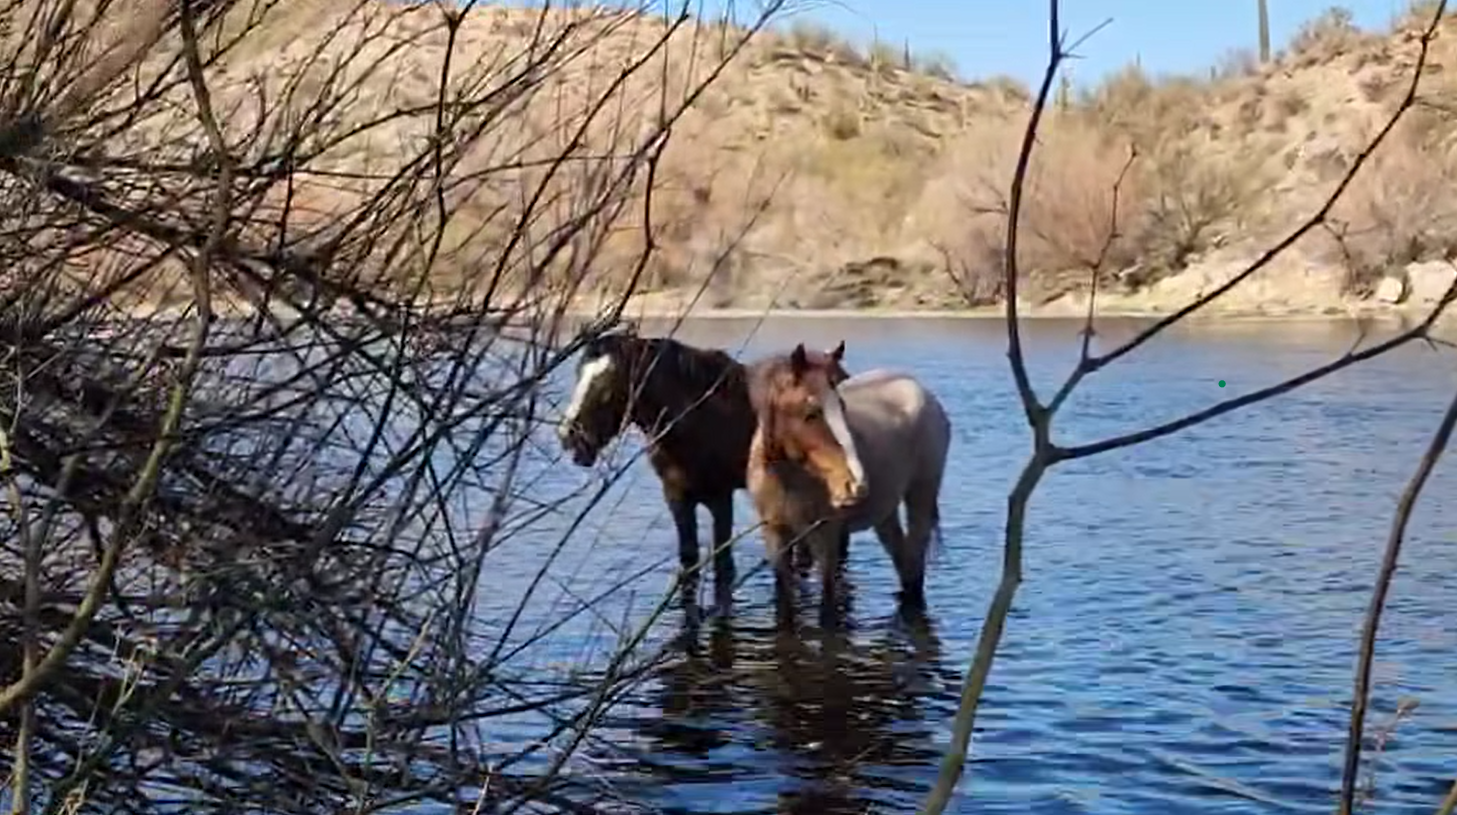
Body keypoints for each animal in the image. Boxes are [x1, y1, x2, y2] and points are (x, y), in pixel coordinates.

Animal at [556, 328, 850, 597]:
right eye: (578, 374)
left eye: (608, 384)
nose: (568, 435)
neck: (697, 416)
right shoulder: (677, 498)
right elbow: (689, 562)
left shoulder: (720, 498)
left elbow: (723, 566)